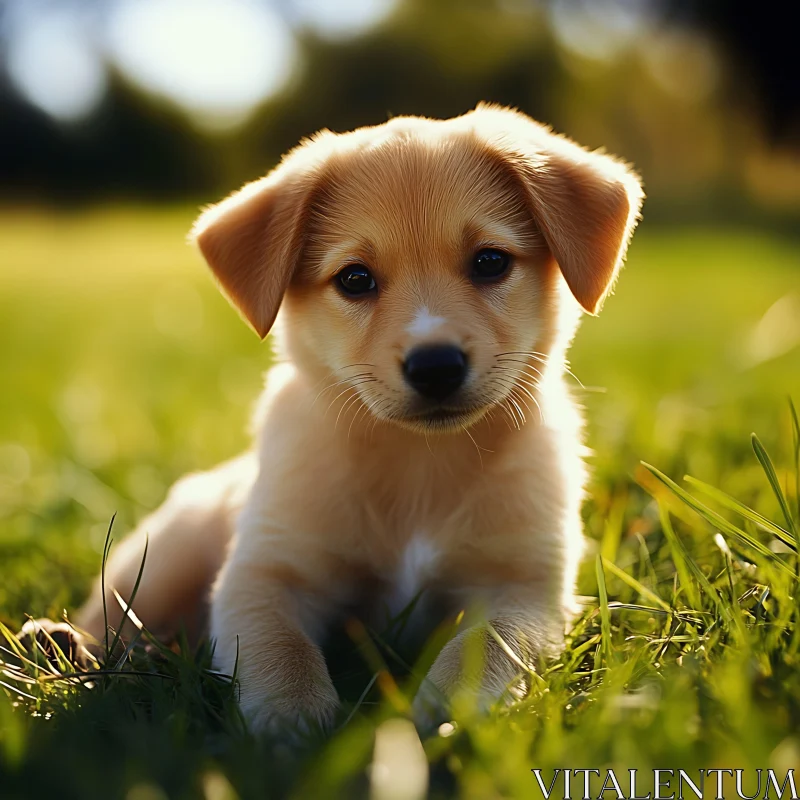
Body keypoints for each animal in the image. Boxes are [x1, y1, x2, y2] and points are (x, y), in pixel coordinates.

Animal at [75, 104, 644, 732]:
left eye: (491, 261)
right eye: (354, 278)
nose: (436, 365)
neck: (420, 465)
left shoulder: (525, 585)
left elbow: (488, 645)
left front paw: (446, 712)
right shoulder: (266, 571)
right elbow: (280, 650)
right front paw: (294, 721)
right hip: (163, 557)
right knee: (112, 620)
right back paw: (59, 644)